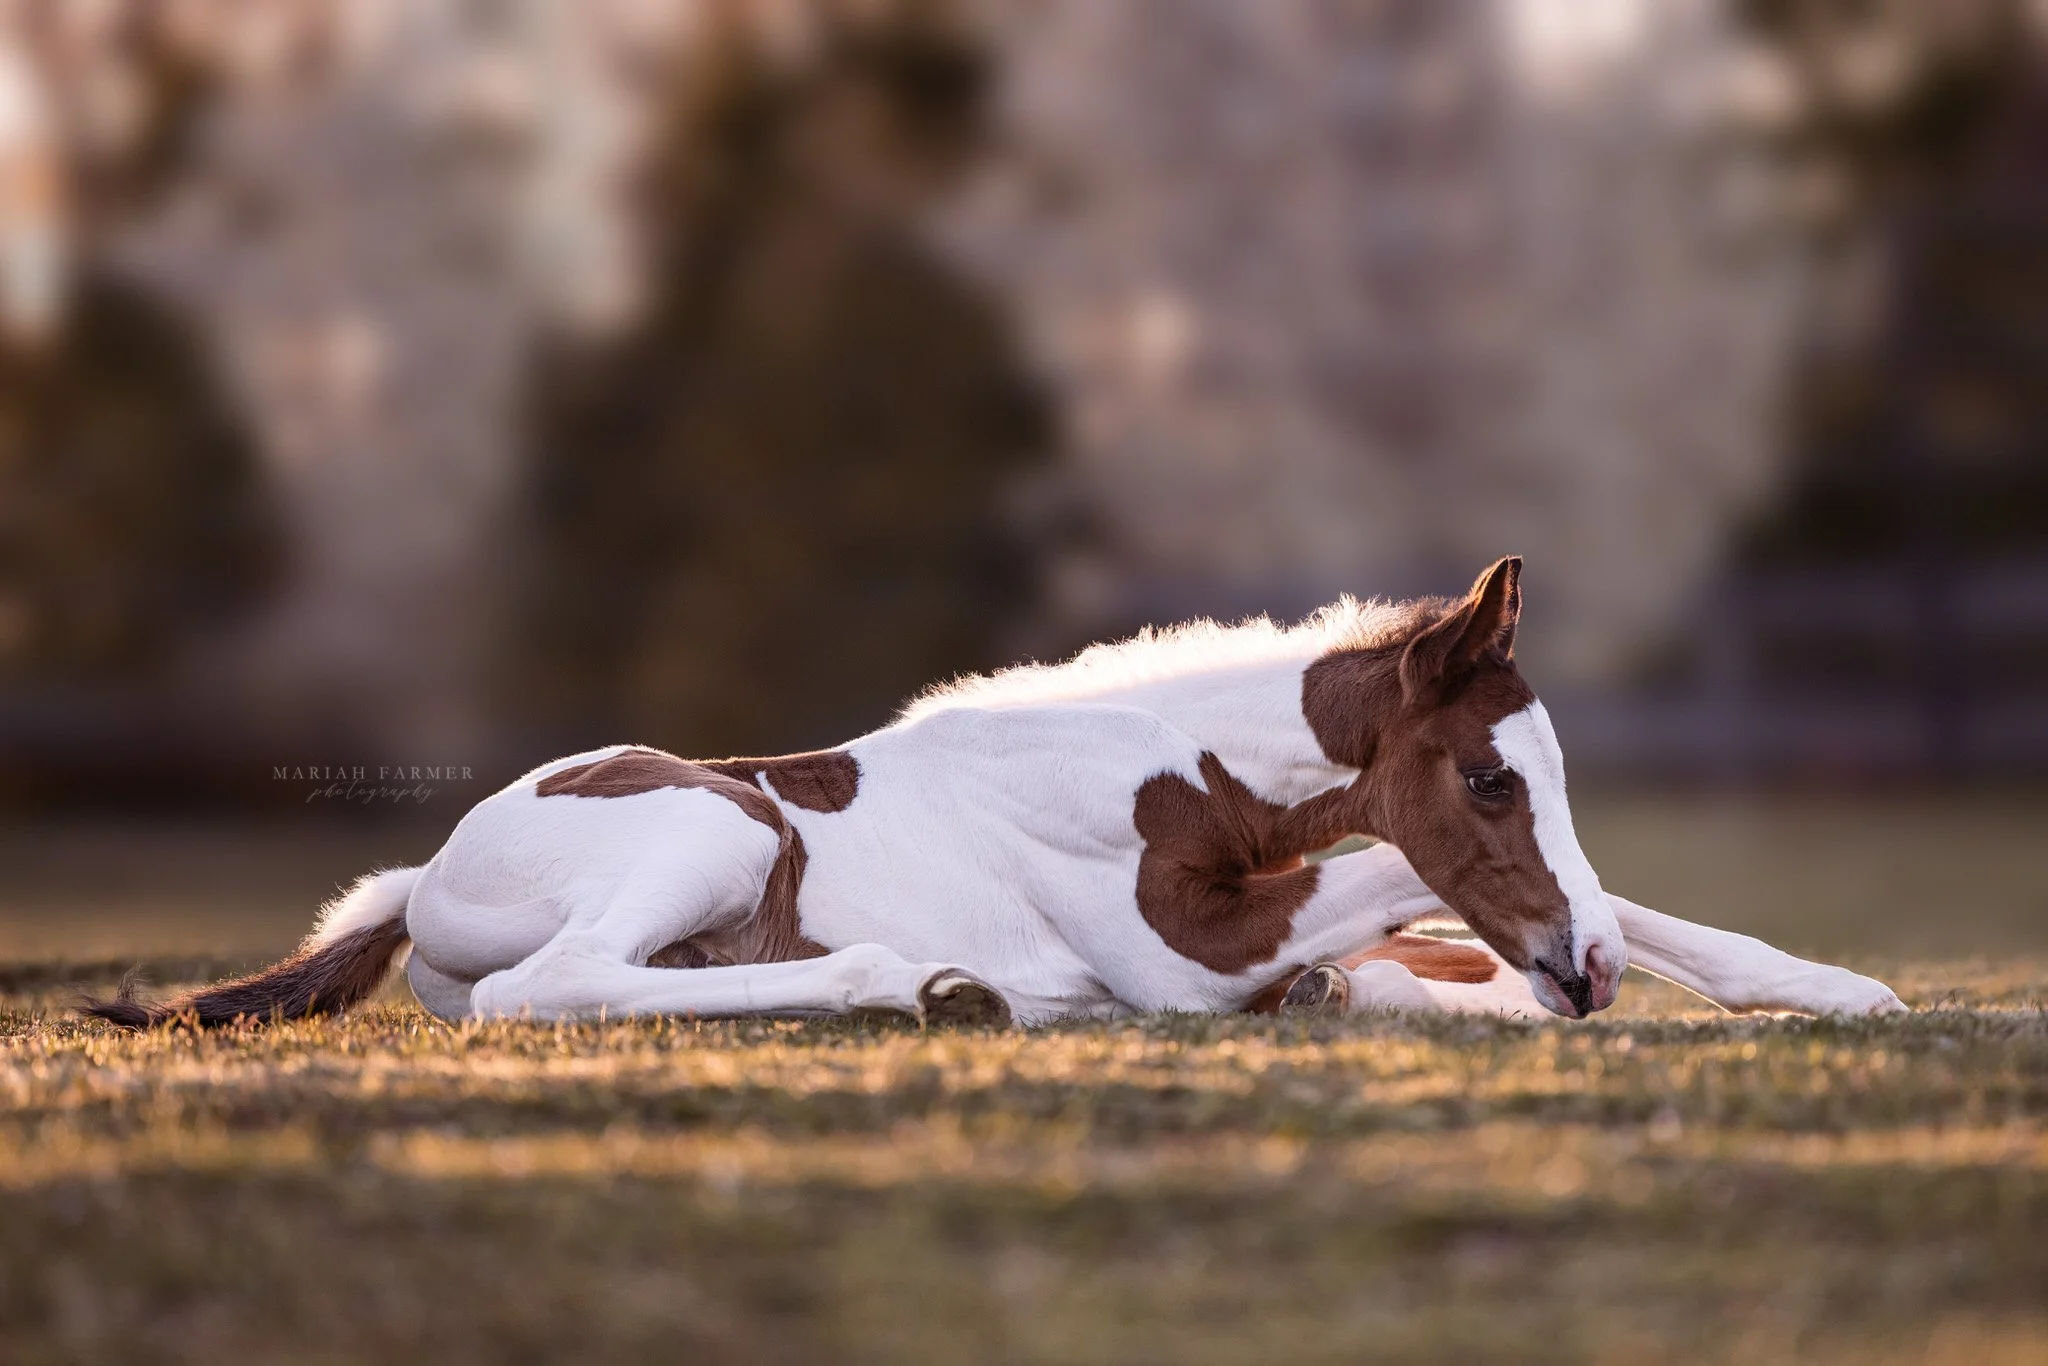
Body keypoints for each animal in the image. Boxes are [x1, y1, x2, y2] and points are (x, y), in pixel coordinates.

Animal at [84, 557, 1906, 1030]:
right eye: (1481, 773)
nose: (1579, 979)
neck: (1148, 781)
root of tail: (430, 866)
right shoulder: (1185, 958)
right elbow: (1405, 874)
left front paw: (1842, 988)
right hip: (715, 821)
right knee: (560, 990)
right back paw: (922, 981)